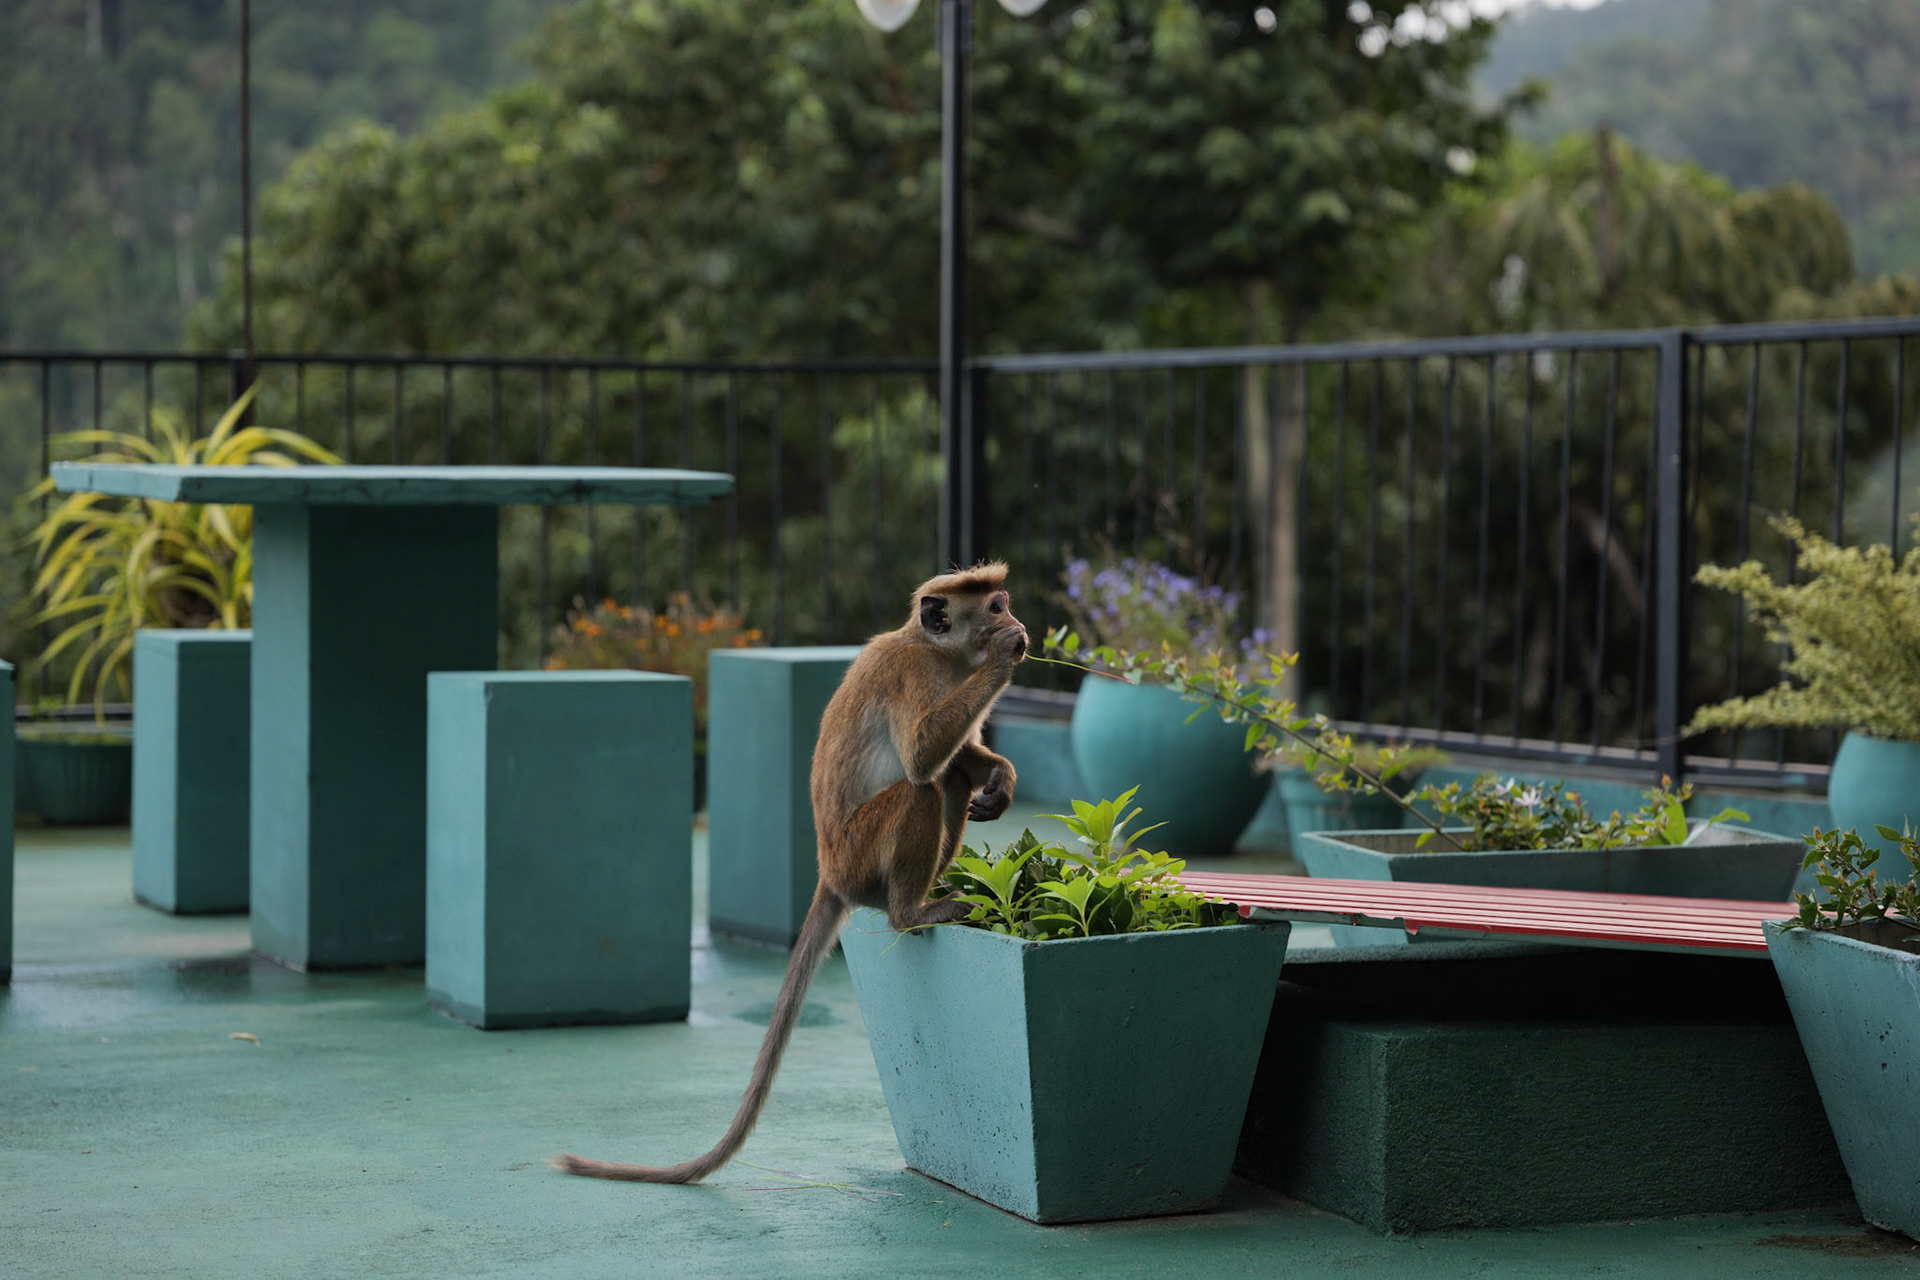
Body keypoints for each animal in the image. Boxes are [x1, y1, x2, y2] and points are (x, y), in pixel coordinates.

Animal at [553, 562, 1028, 1184]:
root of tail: (830, 871)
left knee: (949, 780)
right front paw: (999, 659)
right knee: (924, 786)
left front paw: (1000, 774)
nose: (1017, 623)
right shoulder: (914, 673)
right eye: (995, 608)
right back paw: (909, 911)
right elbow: (924, 754)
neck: (935, 649)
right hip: (859, 852)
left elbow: (959, 757)